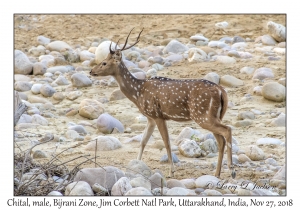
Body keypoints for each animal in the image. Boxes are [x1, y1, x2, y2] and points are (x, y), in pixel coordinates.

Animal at [90, 27, 236, 178]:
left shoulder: (158, 115)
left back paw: (231, 171)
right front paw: (136, 166)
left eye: (104, 62)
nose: (91, 71)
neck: (138, 93)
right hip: (214, 115)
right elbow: (143, 141)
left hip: (202, 115)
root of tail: (221, 91)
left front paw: (171, 171)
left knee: (227, 130)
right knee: (220, 140)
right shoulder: (151, 118)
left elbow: (166, 142)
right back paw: (217, 174)